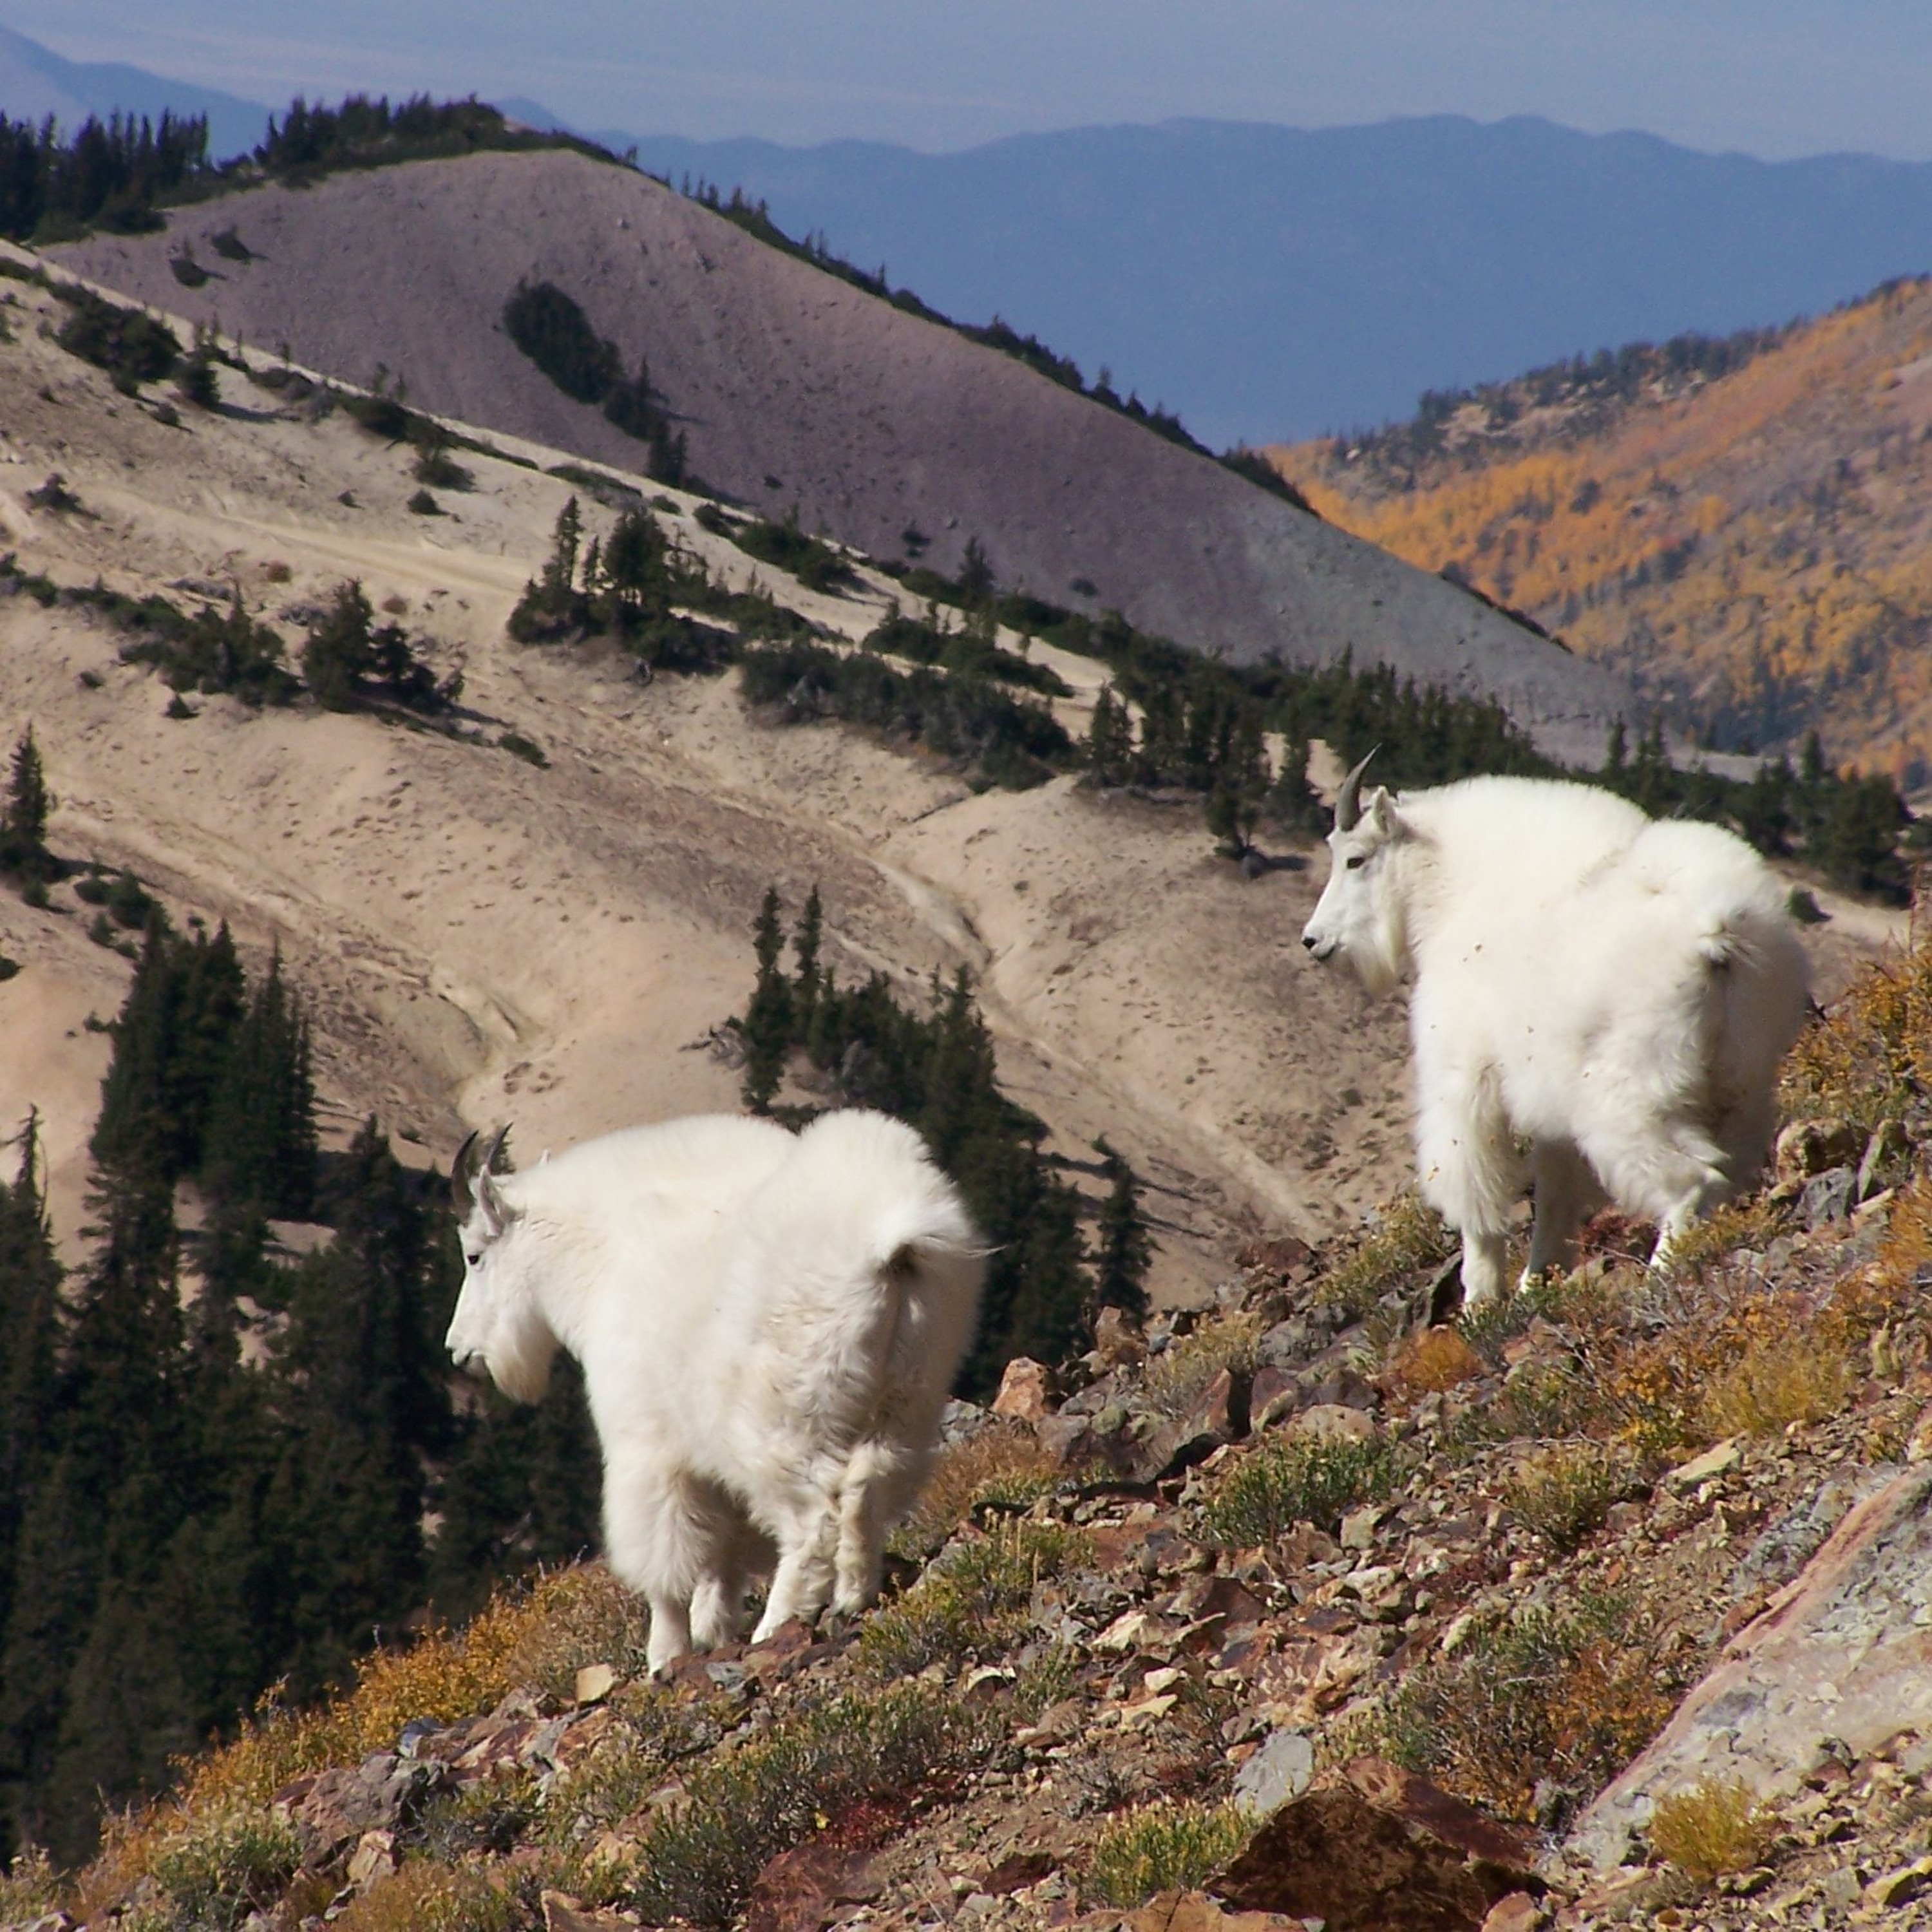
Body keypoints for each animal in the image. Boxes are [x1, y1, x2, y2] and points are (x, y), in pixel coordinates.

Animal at [446, 1109, 984, 1674]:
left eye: (475, 1256)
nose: (460, 1351)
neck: (604, 1256)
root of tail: (890, 1242)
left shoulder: (650, 1449)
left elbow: (668, 1563)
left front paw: (665, 1654)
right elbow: (723, 1554)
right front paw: (712, 1630)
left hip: (782, 1425)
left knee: (812, 1520)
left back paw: (777, 1623)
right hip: (910, 1393)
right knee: (869, 1484)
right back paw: (853, 1595)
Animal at [1300, 755, 1810, 1305]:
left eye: (1355, 859)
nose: (1314, 940)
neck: (1452, 891)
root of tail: (1715, 932)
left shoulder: (1465, 1079)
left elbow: (1476, 1195)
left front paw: (1480, 1302)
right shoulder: (1550, 1111)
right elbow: (1555, 1192)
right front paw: (1535, 1283)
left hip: (1630, 1091)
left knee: (1693, 1180)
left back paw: (1660, 1276)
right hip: (1743, 1078)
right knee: (1732, 1165)